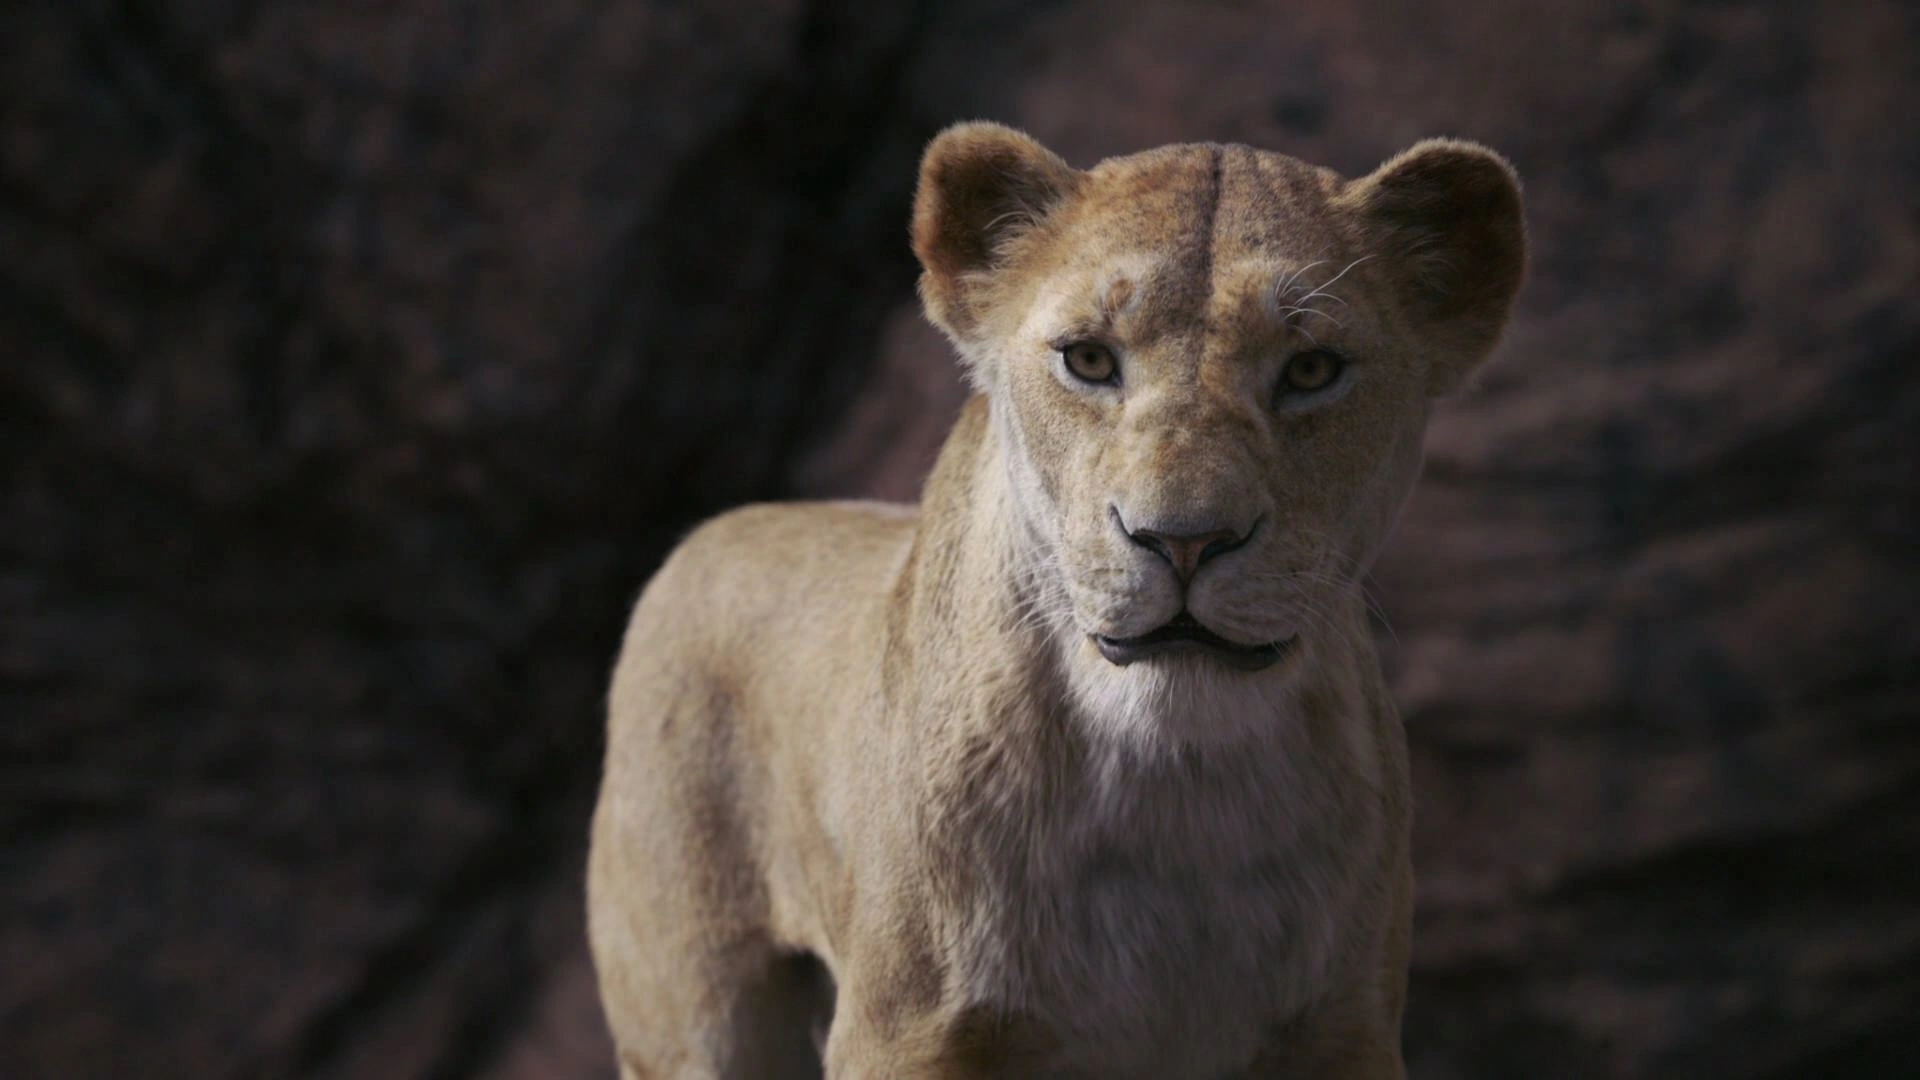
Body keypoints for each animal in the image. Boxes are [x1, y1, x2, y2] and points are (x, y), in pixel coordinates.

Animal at [587, 121, 1526, 1079]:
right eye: (1089, 359)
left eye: (1310, 369)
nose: (1184, 539)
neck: (1175, 771)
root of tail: (713, 531)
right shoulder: (905, 1030)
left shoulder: (1343, 1029)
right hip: (699, 1016)